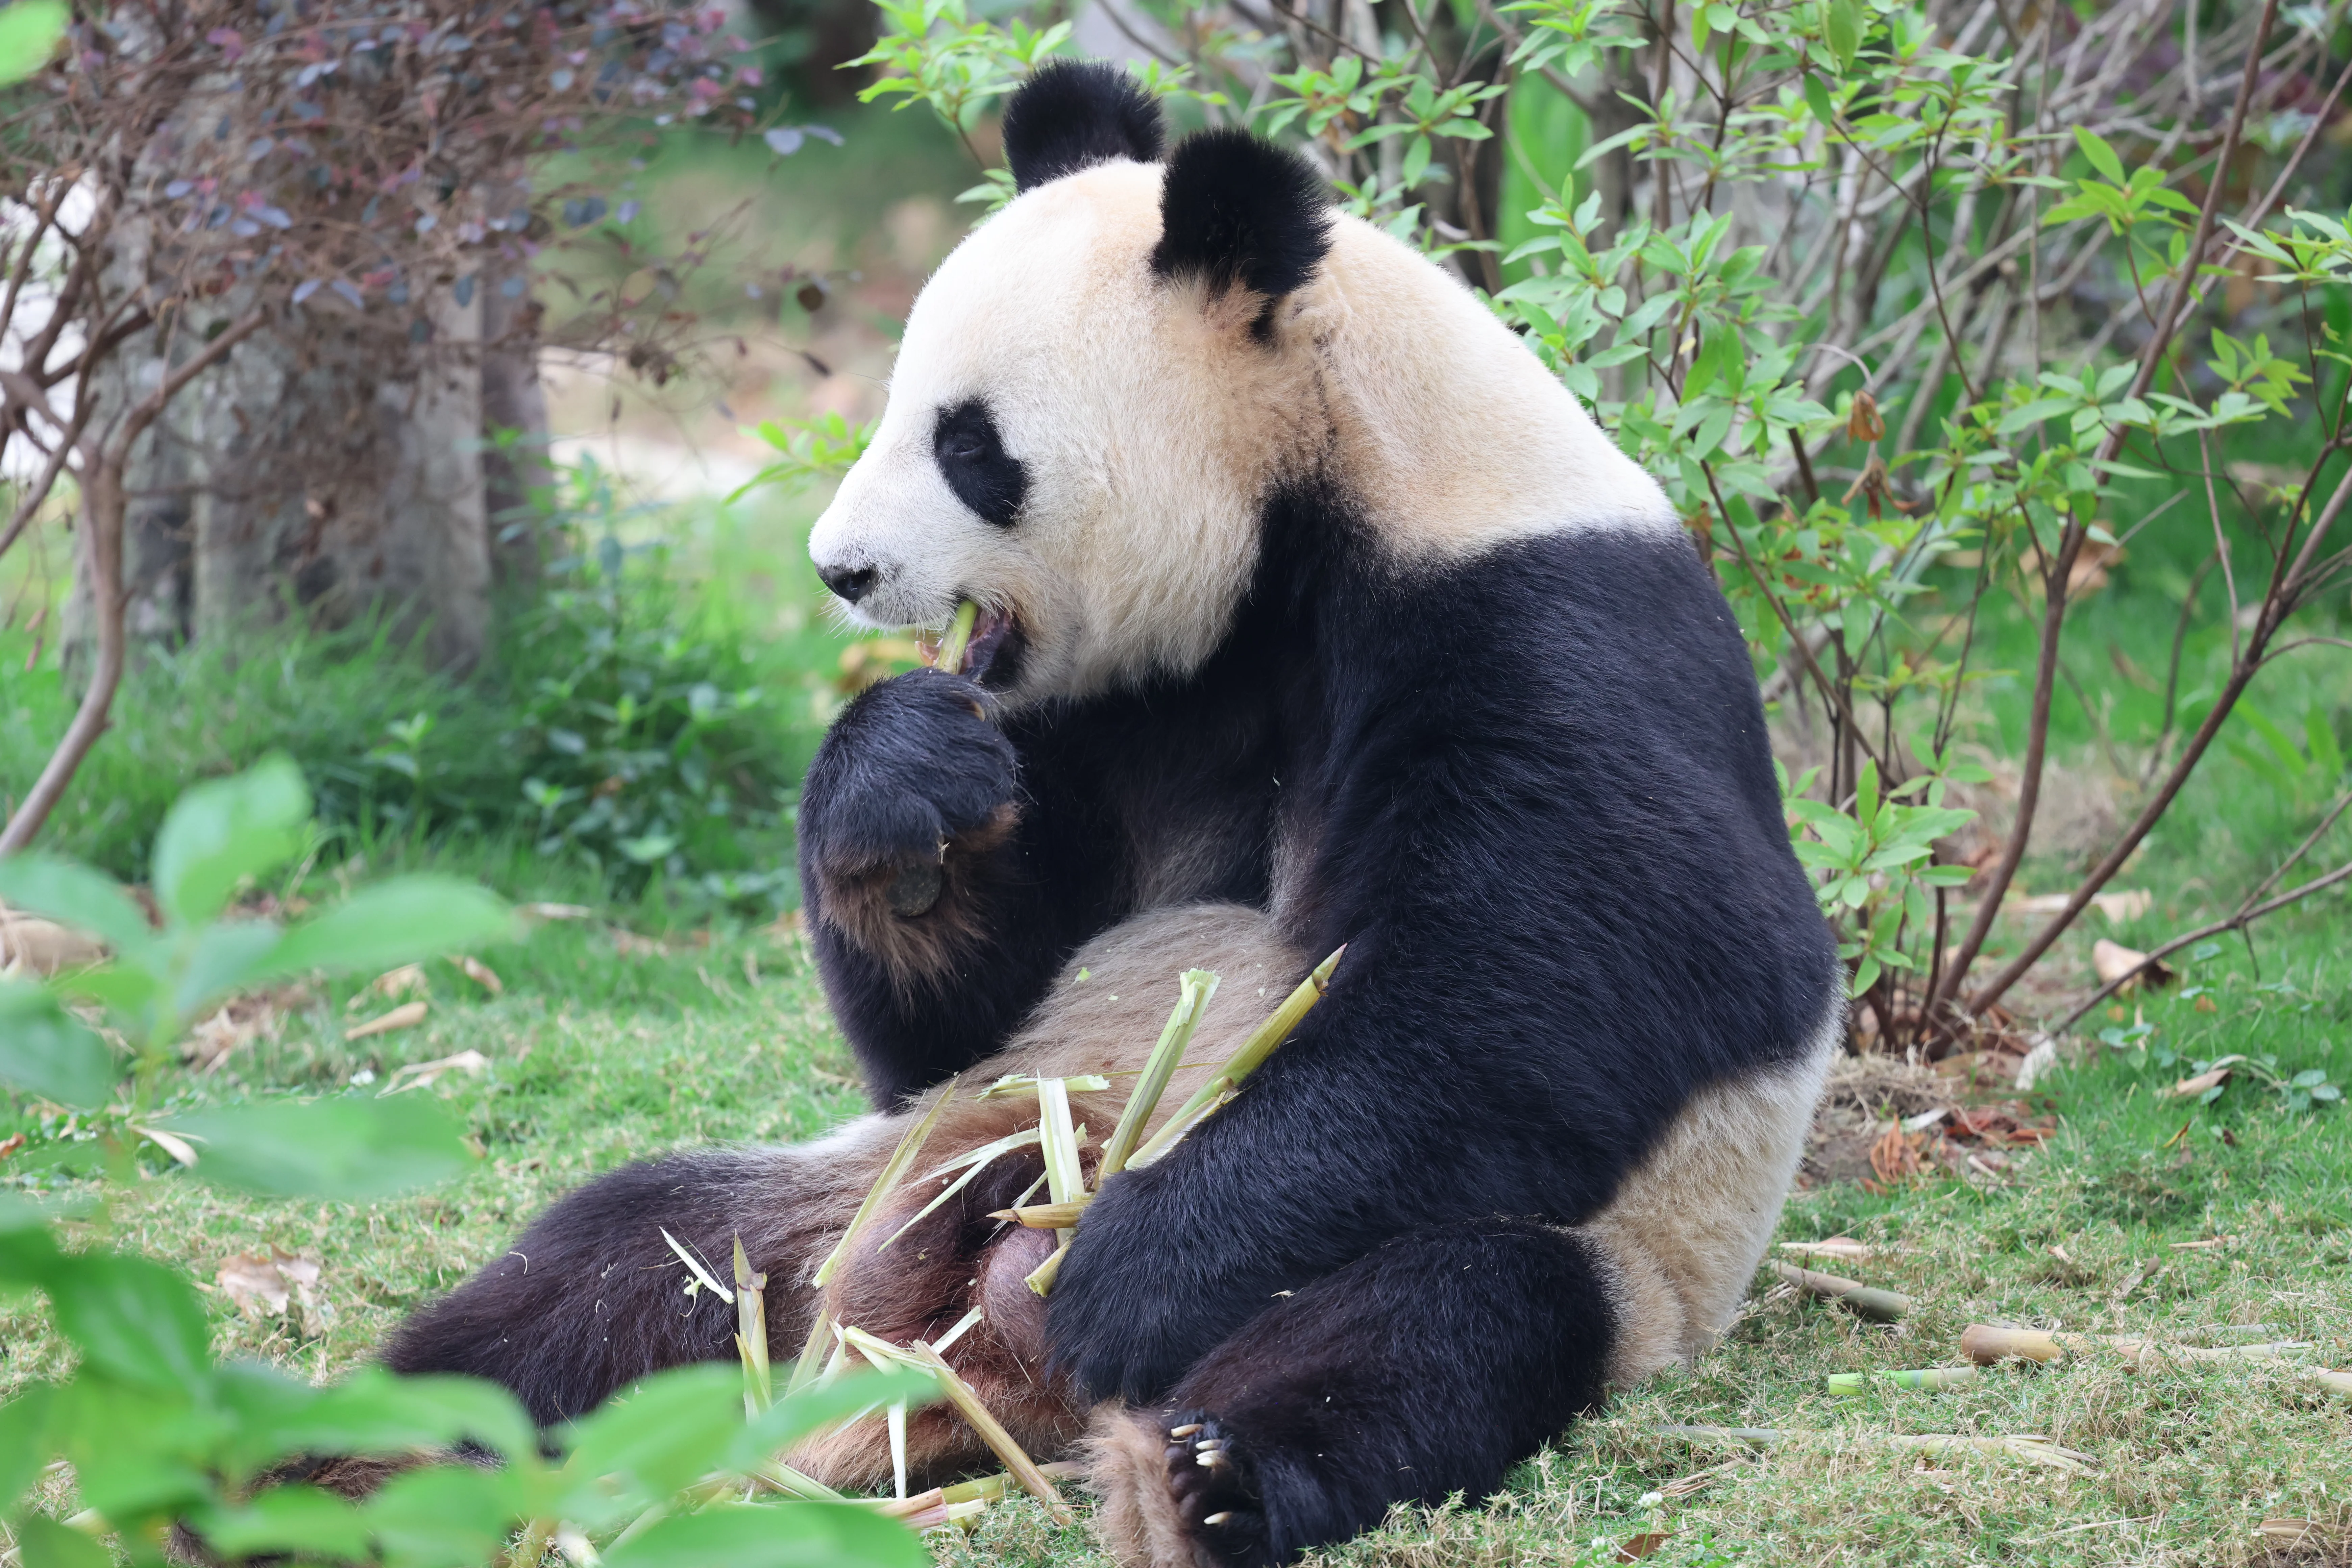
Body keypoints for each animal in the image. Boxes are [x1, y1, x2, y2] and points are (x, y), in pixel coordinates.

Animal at [379, 60, 1841, 1568]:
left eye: (970, 446)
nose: (841, 569)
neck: (1322, 479)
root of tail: (964, 1367)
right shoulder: (1109, 713)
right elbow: (962, 1011)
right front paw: (907, 788)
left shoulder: (1540, 621)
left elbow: (1611, 975)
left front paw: (1130, 1266)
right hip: (862, 1193)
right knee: (621, 1259)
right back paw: (391, 1438)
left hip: (1608, 1258)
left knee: (1443, 1317)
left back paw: (1198, 1465)